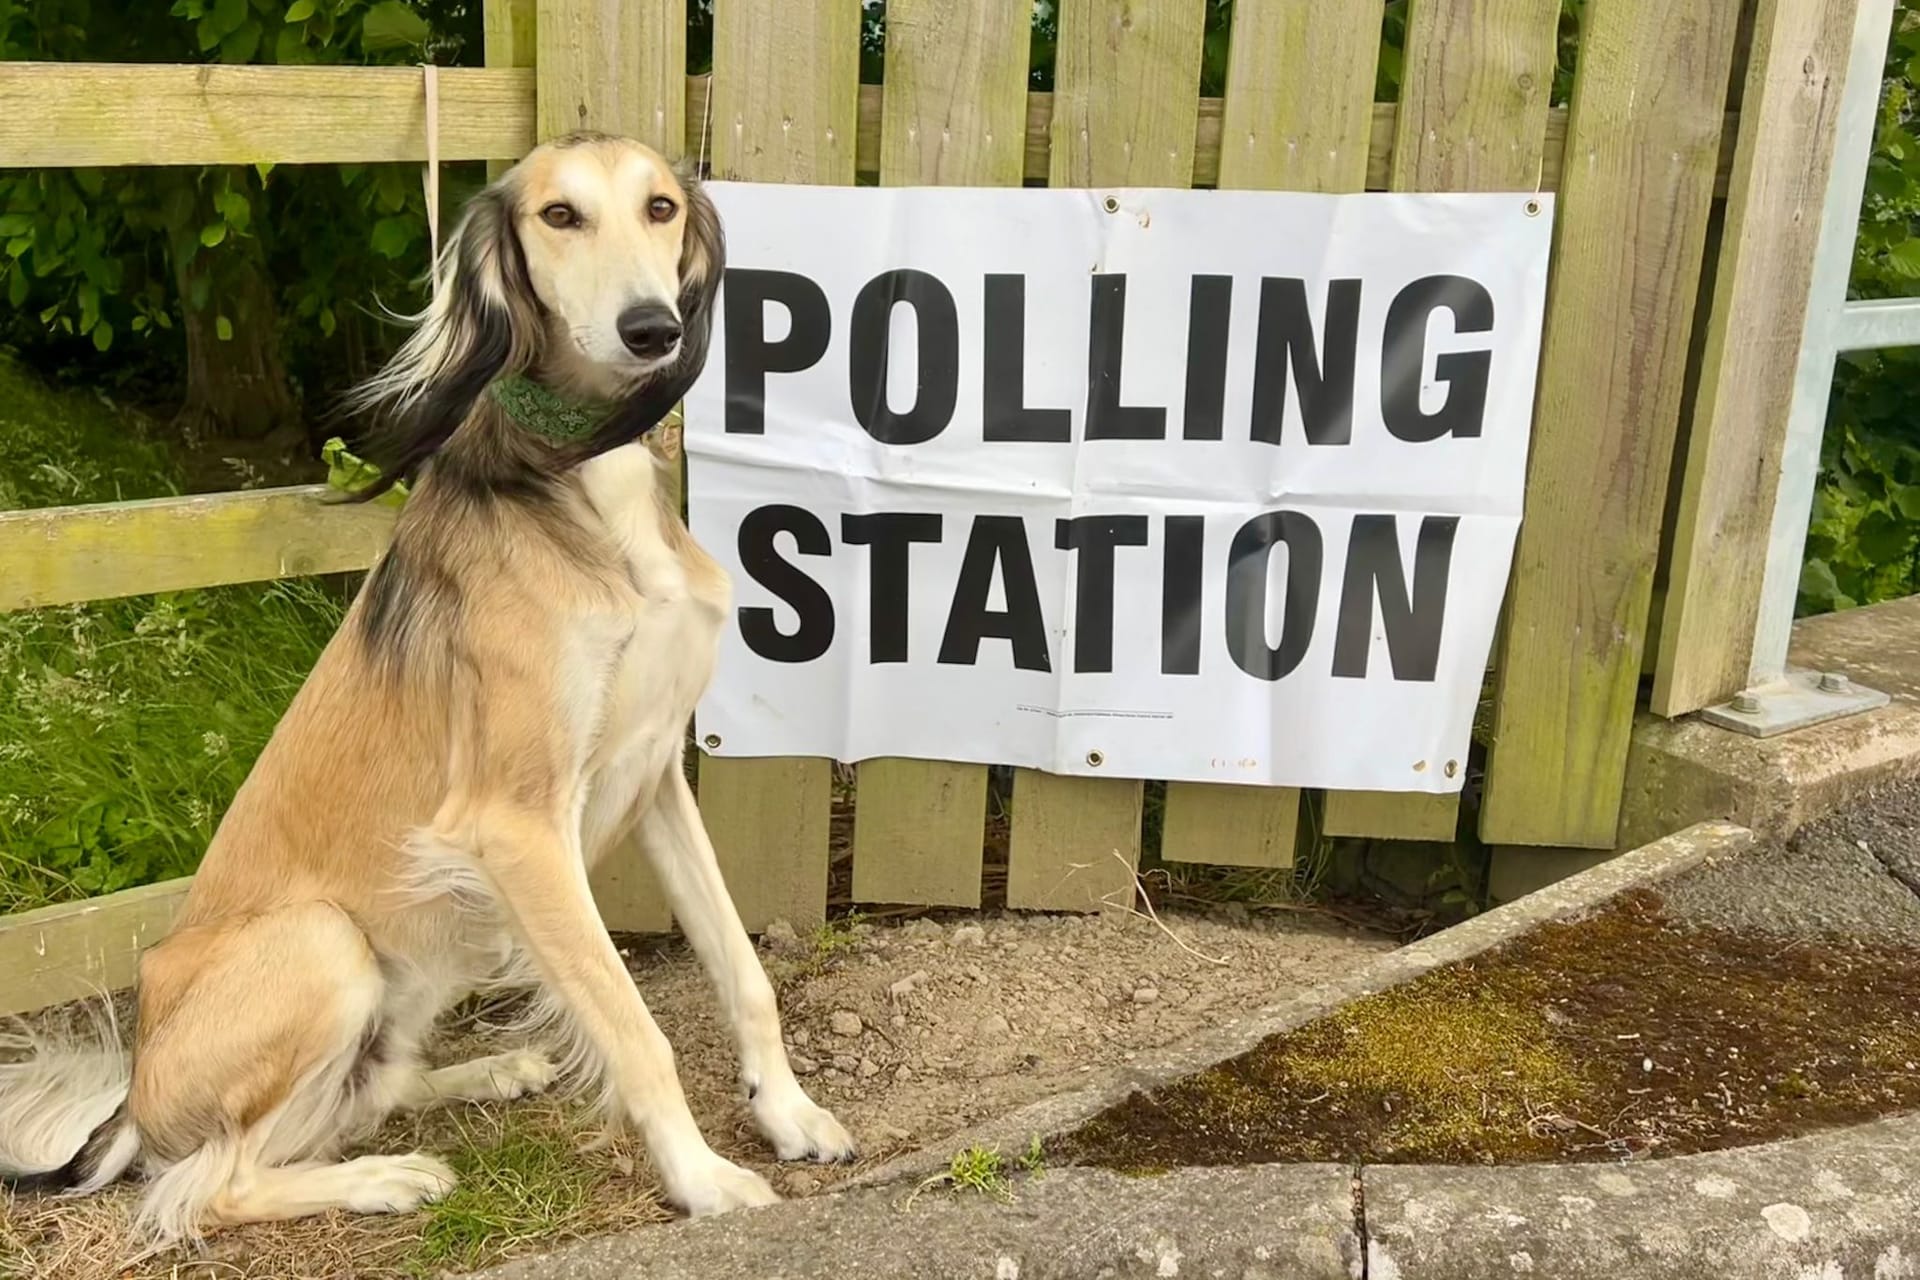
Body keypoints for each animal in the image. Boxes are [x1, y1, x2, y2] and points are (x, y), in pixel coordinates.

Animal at [0, 130, 856, 1243]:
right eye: (560, 215)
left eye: (661, 207)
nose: (651, 330)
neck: (576, 481)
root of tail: (135, 1099)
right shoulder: (517, 826)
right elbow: (635, 1027)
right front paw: (703, 1177)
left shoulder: (656, 775)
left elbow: (742, 970)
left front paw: (786, 1111)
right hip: (328, 945)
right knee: (206, 1184)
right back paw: (383, 1178)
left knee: (358, 1096)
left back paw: (488, 1074)